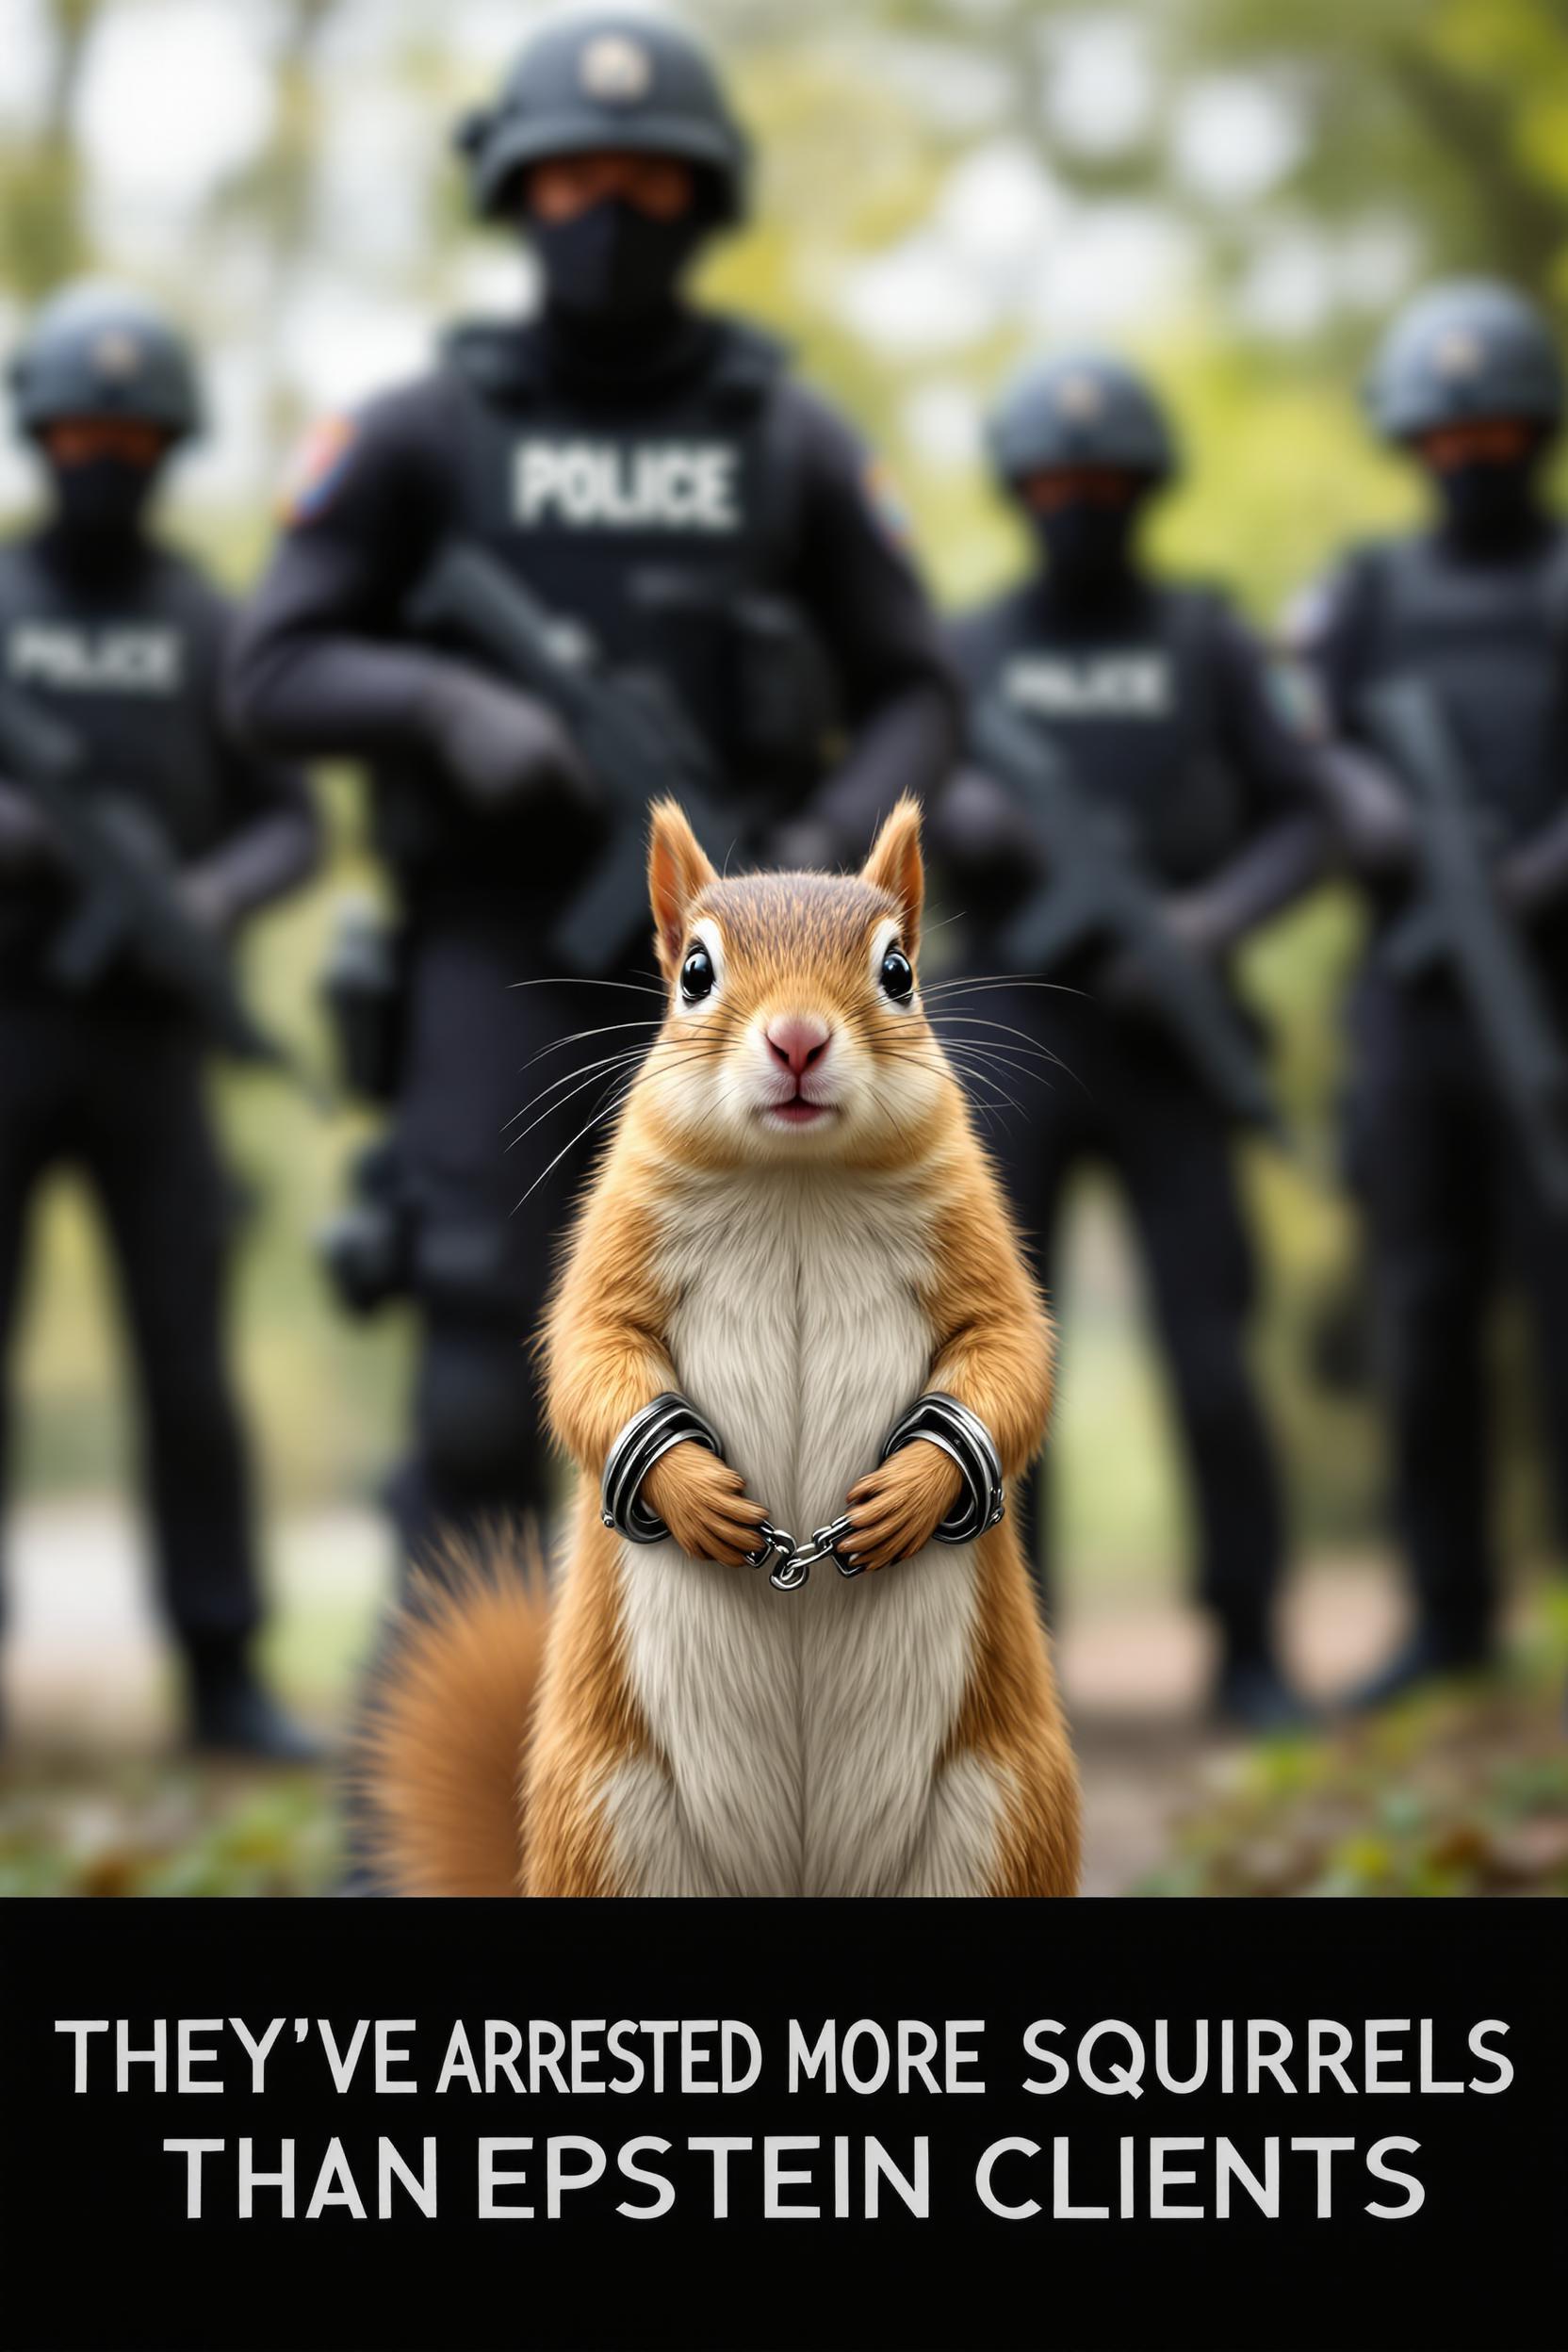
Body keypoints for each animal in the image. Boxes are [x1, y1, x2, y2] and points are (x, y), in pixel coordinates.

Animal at [353, 796, 1080, 1897]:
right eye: (694, 971)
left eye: (898, 971)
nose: (796, 1039)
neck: (796, 1180)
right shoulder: (621, 1234)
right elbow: (588, 1358)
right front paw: (691, 1491)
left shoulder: (971, 1231)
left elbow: (1009, 1356)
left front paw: (914, 1490)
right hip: (609, 1824)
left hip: (1000, 1818)